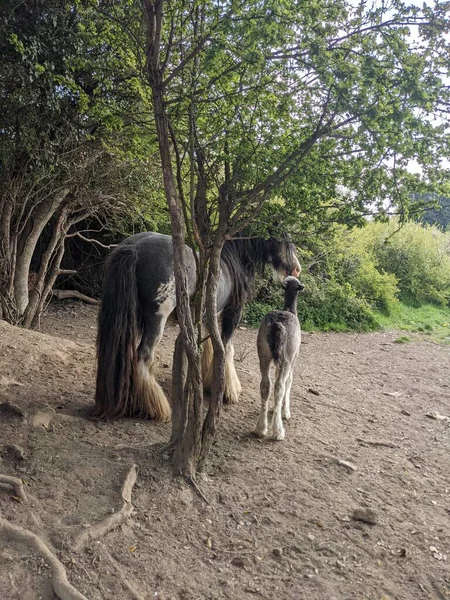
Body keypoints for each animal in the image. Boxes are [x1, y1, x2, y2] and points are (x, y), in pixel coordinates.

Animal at [93, 231, 300, 422]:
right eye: (283, 240)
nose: (296, 270)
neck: (230, 262)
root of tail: (135, 247)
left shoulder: (209, 315)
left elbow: (211, 346)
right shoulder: (232, 314)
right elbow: (226, 348)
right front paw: (228, 390)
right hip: (157, 319)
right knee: (143, 355)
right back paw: (155, 408)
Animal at [255, 276, 304, 440]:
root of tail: (276, 325)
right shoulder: (294, 358)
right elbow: (290, 381)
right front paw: (285, 411)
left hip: (263, 352)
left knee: (265, 384)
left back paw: (260, 428)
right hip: (286, 357)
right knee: (279, 386)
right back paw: (278, 430)